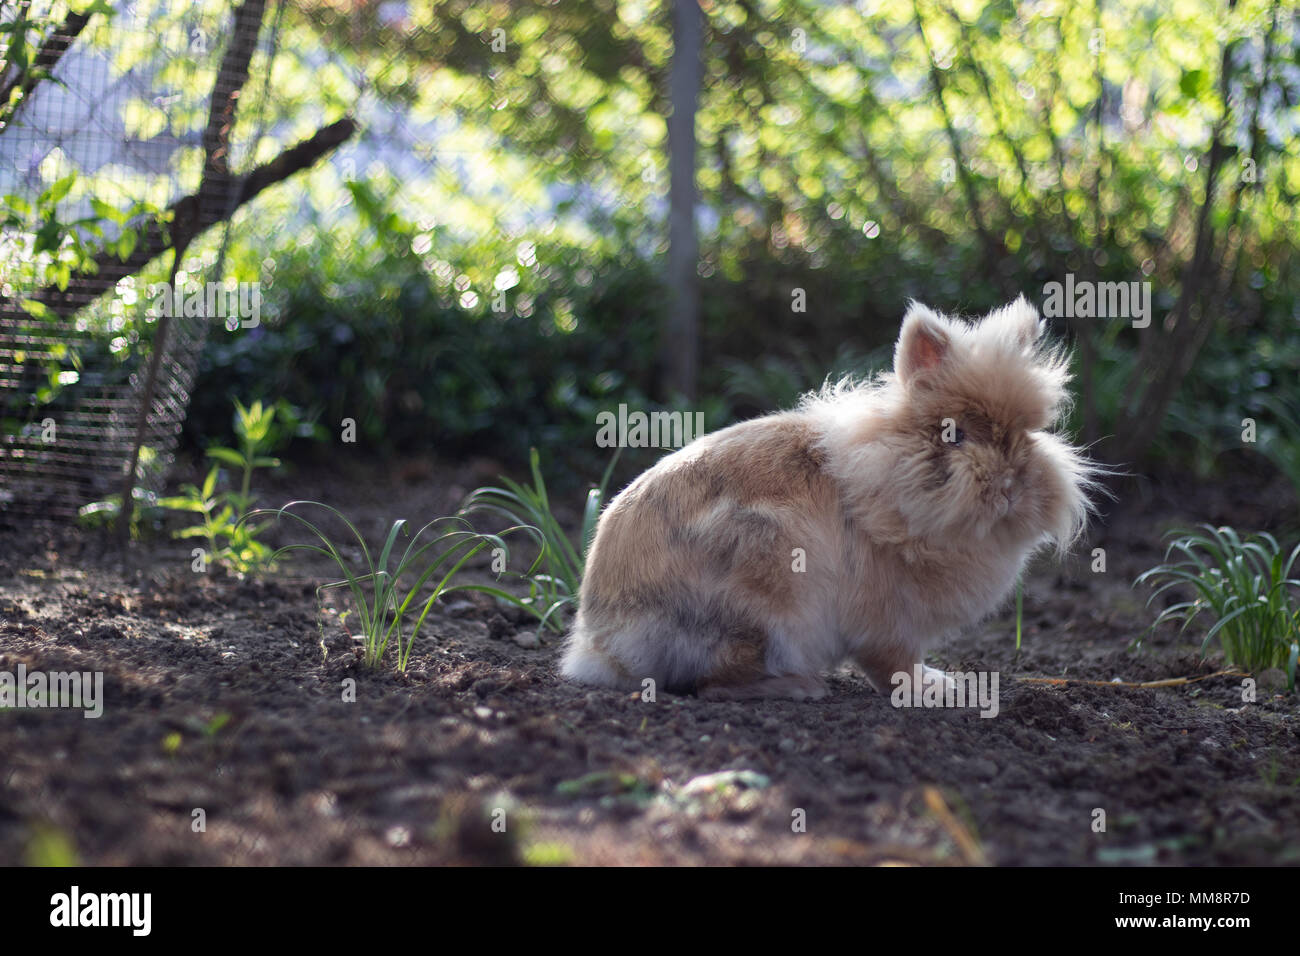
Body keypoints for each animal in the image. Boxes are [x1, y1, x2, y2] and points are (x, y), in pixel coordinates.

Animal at [561, 296, 1099, 701]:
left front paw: (940, 682)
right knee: (715, 683)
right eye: (955, 435)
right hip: (760, 600)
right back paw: (802, 687)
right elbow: (894, 667)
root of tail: (600, 644)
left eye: (1026, 435)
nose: (1010, 488)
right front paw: (929, 692)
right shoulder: (888, 625)